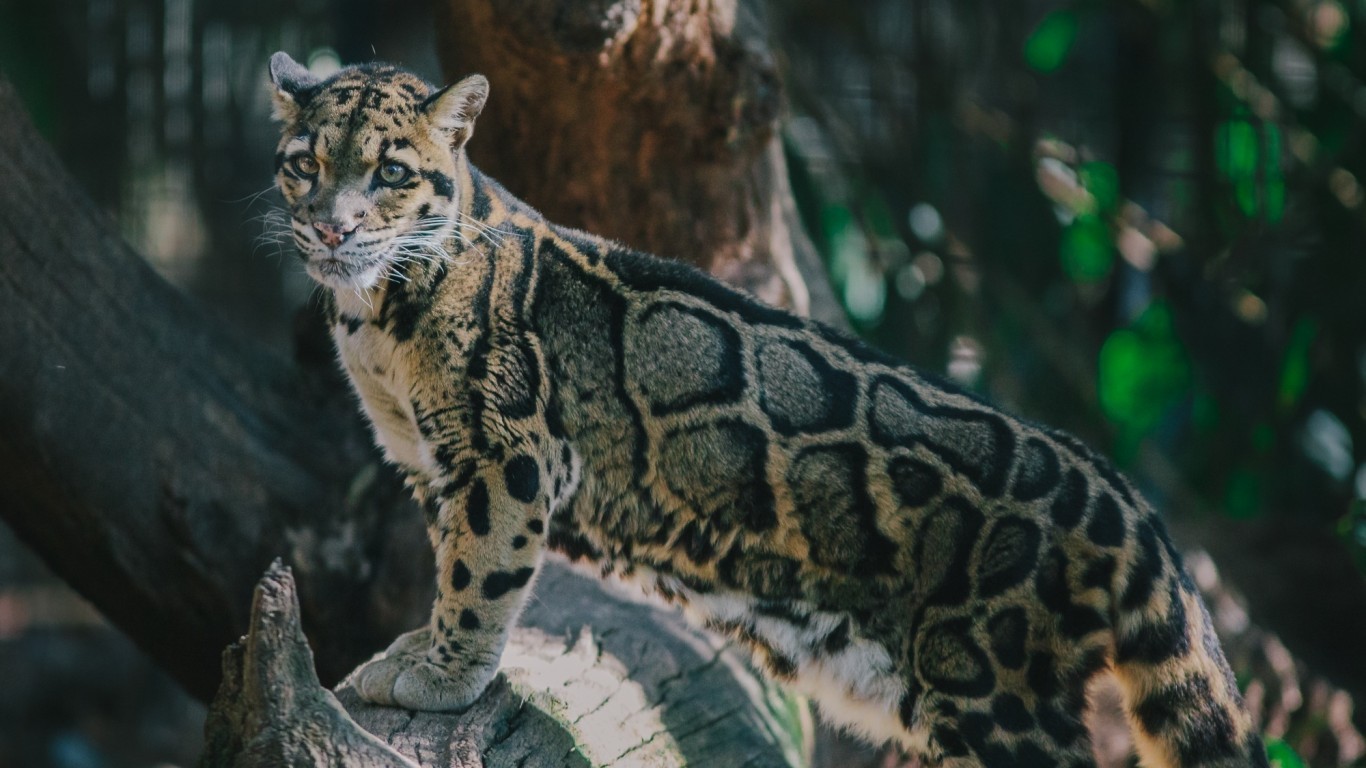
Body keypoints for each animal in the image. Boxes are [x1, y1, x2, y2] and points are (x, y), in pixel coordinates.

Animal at [266, 50, 1267, 759]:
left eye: (392, 172)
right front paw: (419, 650)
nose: (330, 228)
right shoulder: (427, 455)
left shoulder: (506, 453)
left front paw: (444, 673)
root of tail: (1121, 498)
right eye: (303, 163)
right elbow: (449, 558)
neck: (374, 317)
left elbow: (479, 575)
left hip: (993, 693)